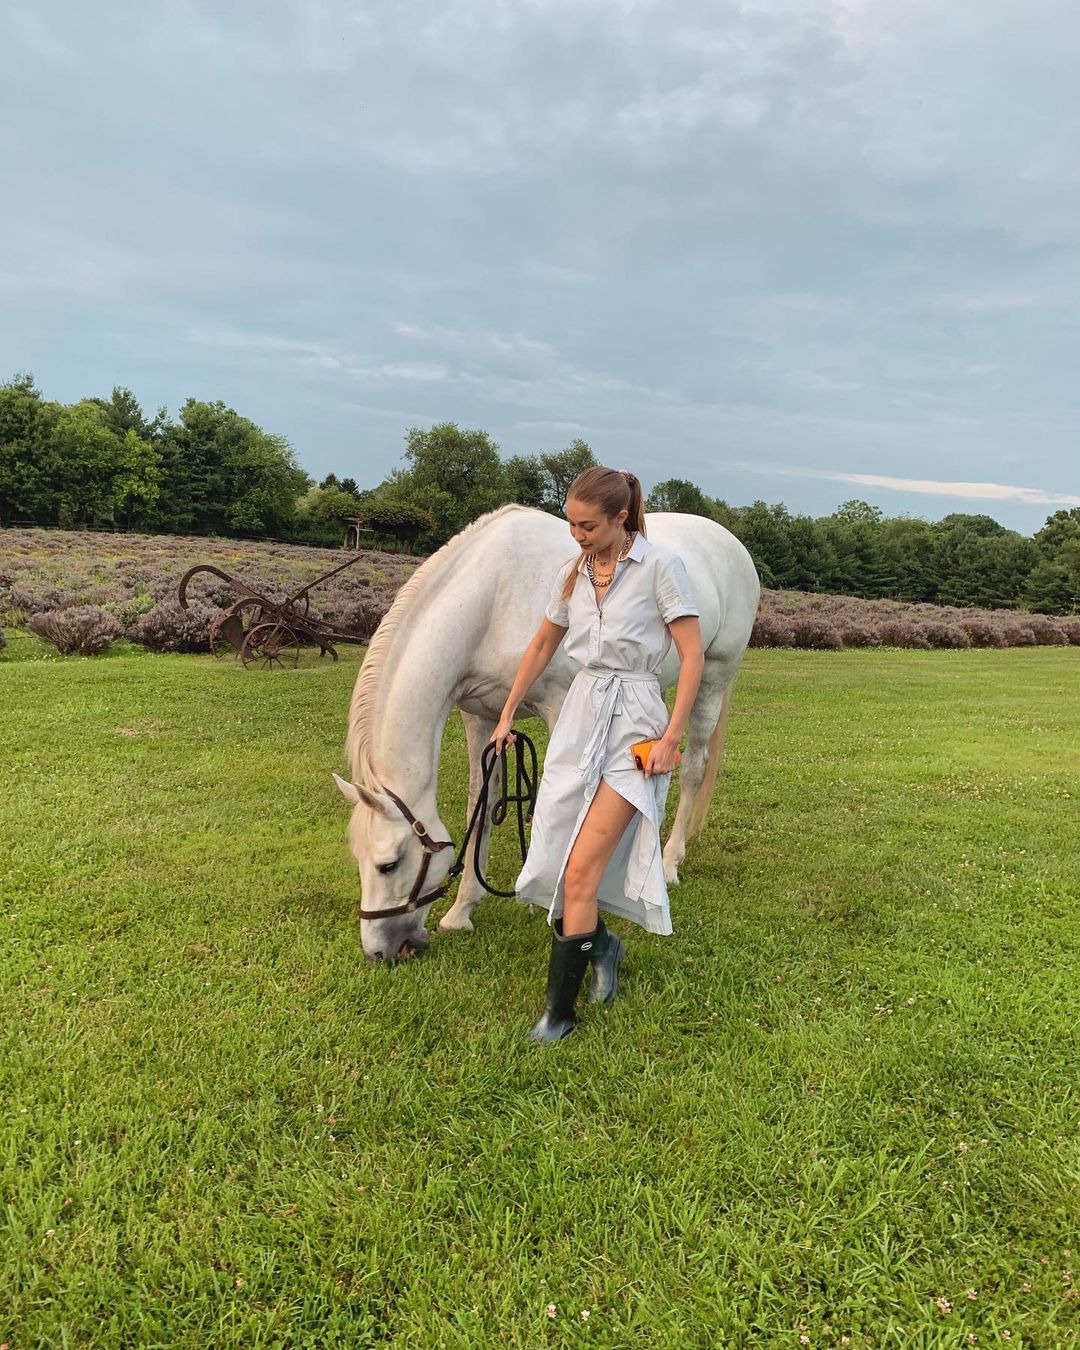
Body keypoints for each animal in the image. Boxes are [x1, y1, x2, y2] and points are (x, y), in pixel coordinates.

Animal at [329, 504, 761, 961]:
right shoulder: (481, 718)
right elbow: (481, 805)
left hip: (712, 677)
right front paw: (462, 911)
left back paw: (671, 861)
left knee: (694, 768)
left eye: (388, 865)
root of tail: (731, 544)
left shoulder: (560, 708)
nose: (380, 952)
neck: (492, 598)